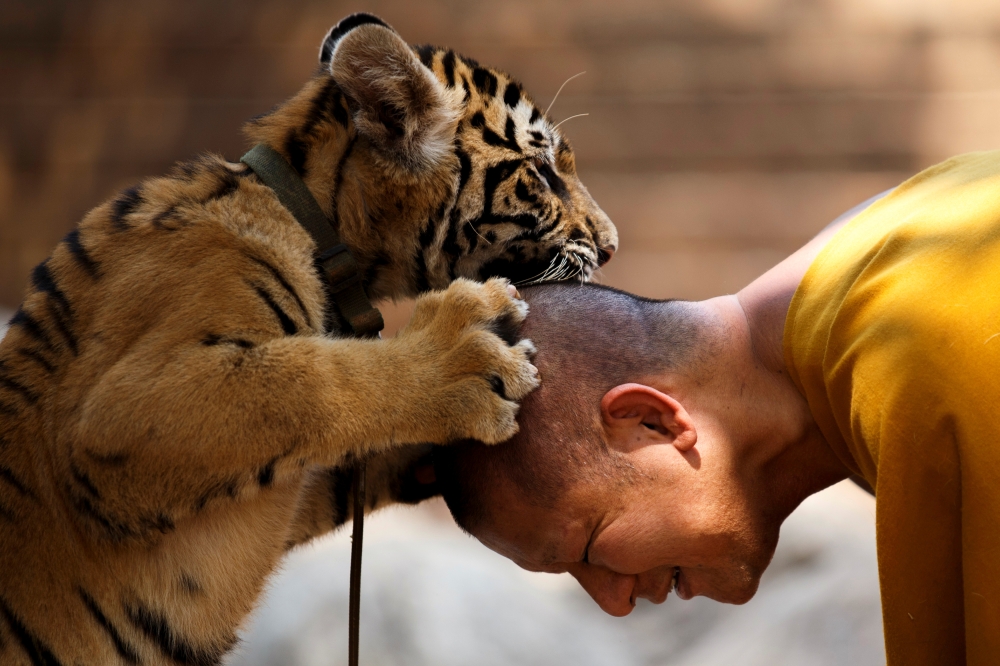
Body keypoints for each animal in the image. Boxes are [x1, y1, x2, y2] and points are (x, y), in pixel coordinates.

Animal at [0, 12, 616, 666]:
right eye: (543, 174)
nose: (611, 246)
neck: (320, 226)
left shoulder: (290, 491)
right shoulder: (127, 409)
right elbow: (311, 383)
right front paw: (462, 357)